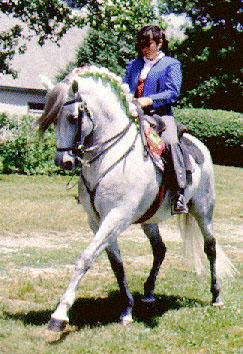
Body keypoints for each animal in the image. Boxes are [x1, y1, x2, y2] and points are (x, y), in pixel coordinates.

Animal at [39, 65, 236, 332]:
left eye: (71, 117)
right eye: (53, 120)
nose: (64, 161)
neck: (109, 157)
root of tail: (198, 145)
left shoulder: (117, 216)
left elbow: (86, 258)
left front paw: (59, 316)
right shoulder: (97, 221)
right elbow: (116, 265)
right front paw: (127, 309)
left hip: (203, 210)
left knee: (210, 247)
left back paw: (216, 296)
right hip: (149, 219)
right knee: (160, 249)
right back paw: (149, 293)